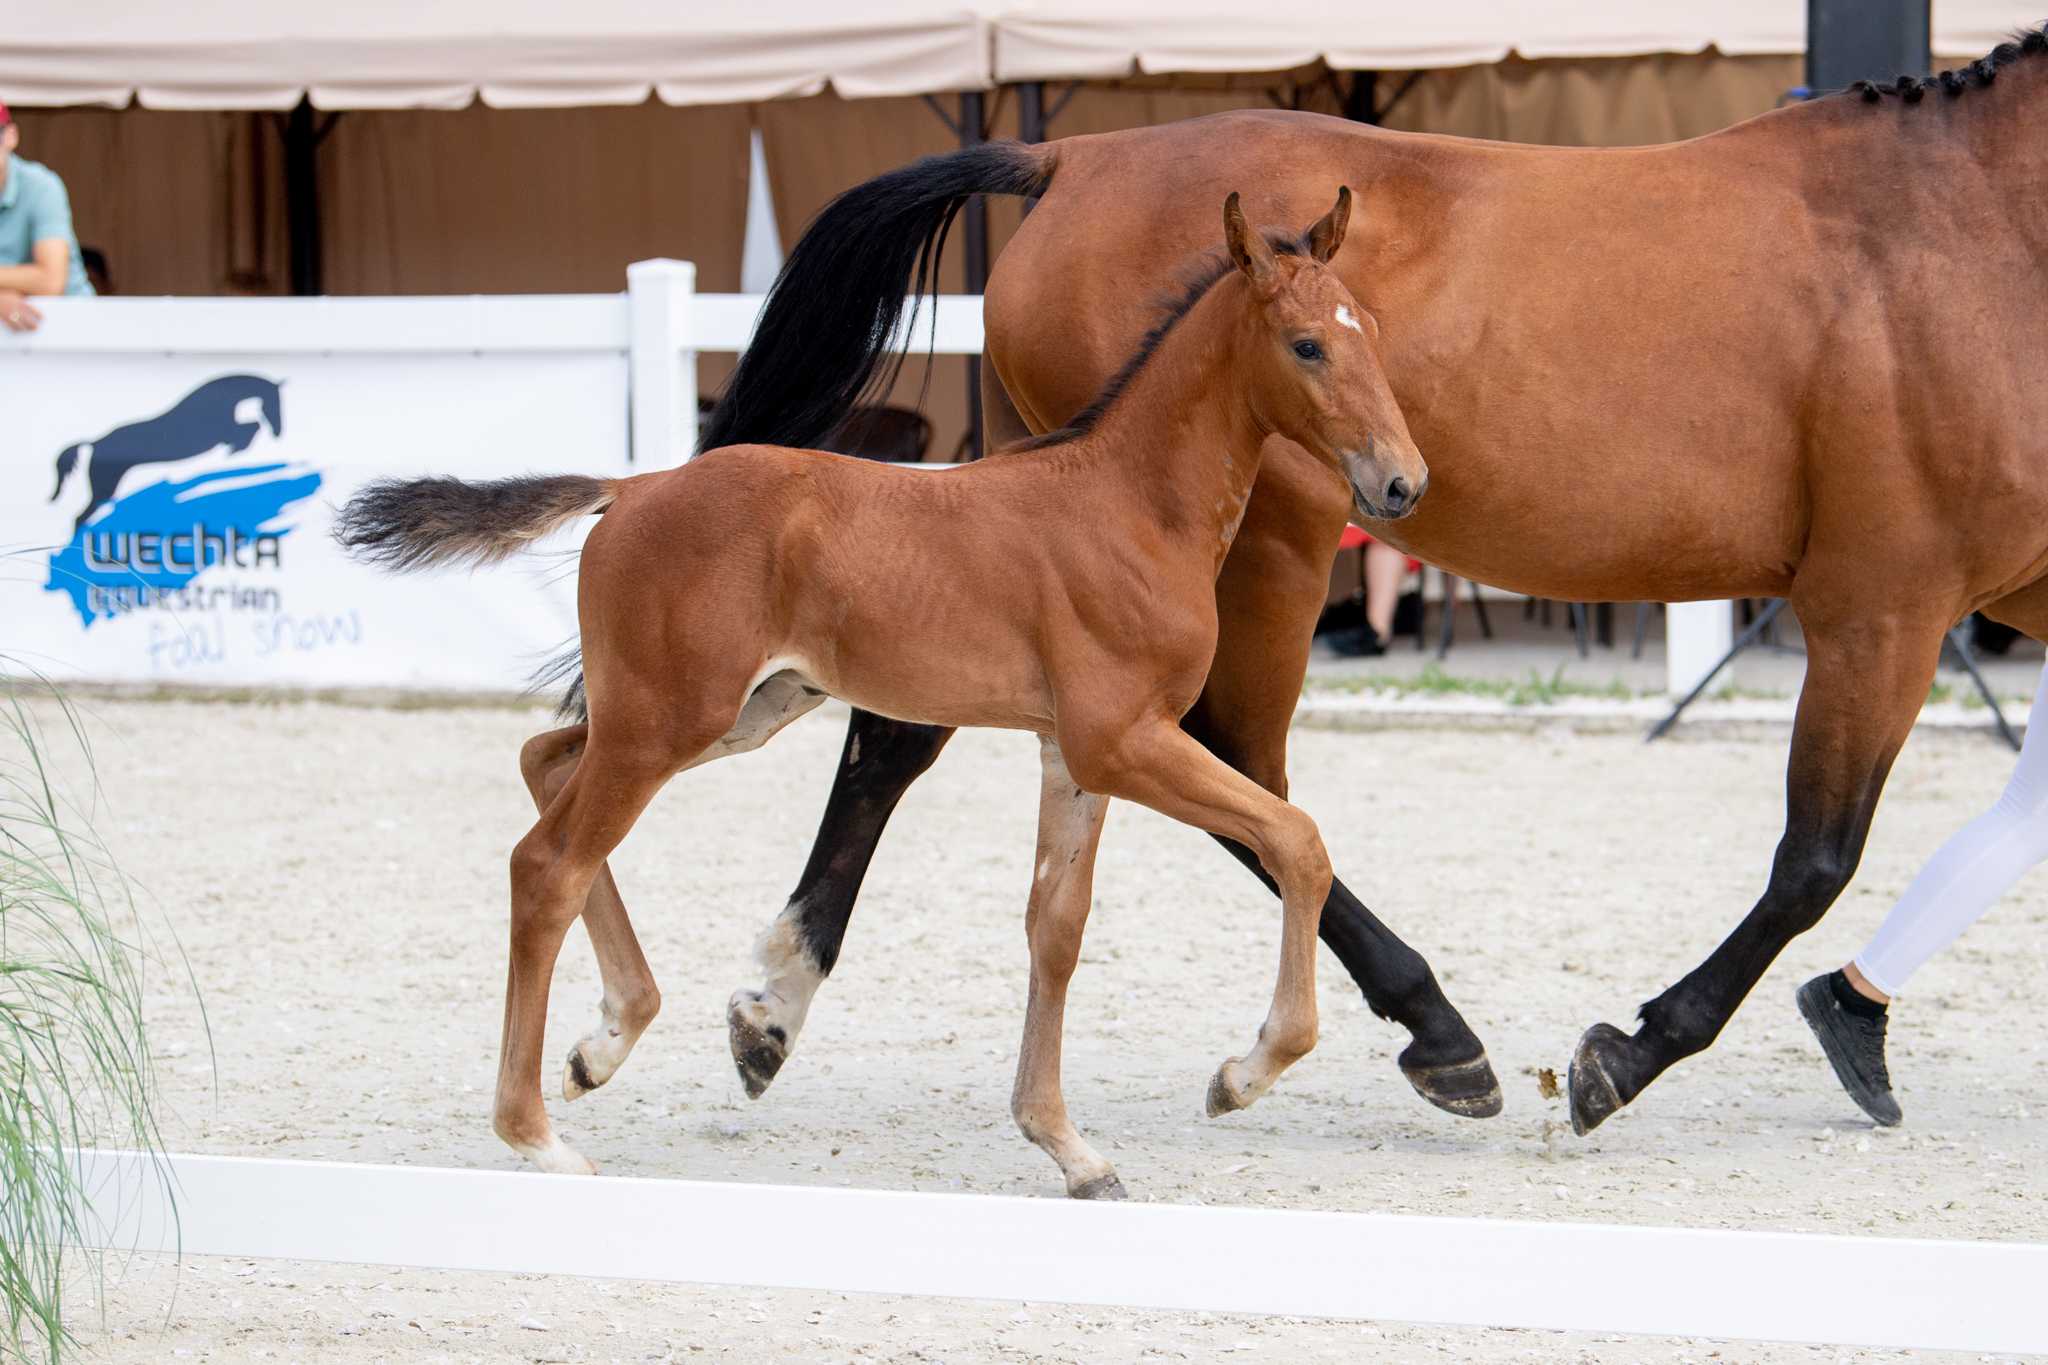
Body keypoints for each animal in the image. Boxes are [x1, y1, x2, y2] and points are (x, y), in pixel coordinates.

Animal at [51, 374, 283, 532]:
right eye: (274, 404)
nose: (279, 432)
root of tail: (96, 442)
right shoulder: (219, 434)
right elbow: (251, 427)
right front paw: (238, 447)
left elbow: (250, 427)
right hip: (104, 484)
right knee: (81, 516)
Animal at [339, 191, 1430, 1194]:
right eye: (1304, 345)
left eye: (1373, 332)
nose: (1401, 484)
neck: (1129, 503)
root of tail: (631, 487)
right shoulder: (1120, 737)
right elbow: (1296, 841)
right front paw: (1241, 1075)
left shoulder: (1072, 752)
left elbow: (1055, 928)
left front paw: (1068, 1147)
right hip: (668, 719)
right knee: (547, 864)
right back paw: (537, 1134)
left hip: (730, 710)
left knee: (544, 759)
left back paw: (604, 1042)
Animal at [691, 28, 2048, 1144]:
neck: (1976, 228)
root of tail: (1071, 156)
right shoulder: (1881, 604)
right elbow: (1814, 858)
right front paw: (1631, 1054)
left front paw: (1844, 1027)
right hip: (1267, 545)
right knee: (1237, 768)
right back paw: (1434, 1034)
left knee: (911, 732)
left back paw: (774, 1005)